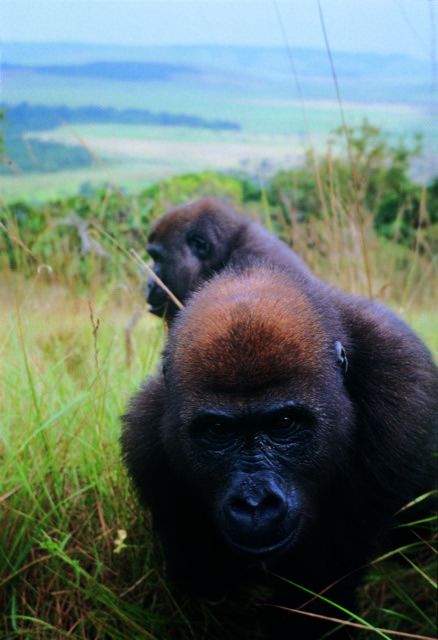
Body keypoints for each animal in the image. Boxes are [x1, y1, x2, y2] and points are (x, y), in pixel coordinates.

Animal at [122, 262, 437, 639]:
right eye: (219, 429)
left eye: (284, 423)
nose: (254, 502)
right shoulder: (146, 440)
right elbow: (203, 579)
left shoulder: (399, 403)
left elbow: (316, 599)